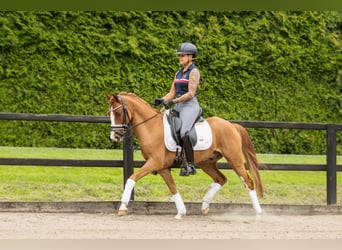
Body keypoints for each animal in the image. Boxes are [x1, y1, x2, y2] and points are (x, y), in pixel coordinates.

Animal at [107, 92, 264, 219]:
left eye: (118, 114)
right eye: (110, 114)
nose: (114, 137)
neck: (151, 127)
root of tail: (232, 126)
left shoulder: (154, 162)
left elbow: (131, 179)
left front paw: (123, 207)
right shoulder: (162, 167)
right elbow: (173, 188)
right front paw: (181, 212)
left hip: (234, 159)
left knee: (248, 182)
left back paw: (258, 213)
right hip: (207, 163)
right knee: (221, 179)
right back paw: (205, 206)